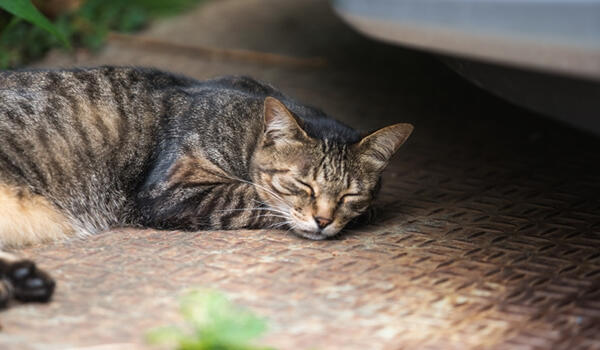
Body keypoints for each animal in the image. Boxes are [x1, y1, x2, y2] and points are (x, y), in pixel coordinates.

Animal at [0, 67, 412, 308]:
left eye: (349, 195)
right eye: (302, 185)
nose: (324, 221)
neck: (247, 125)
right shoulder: (172, 189)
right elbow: (253, 196)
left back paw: (22, 281)